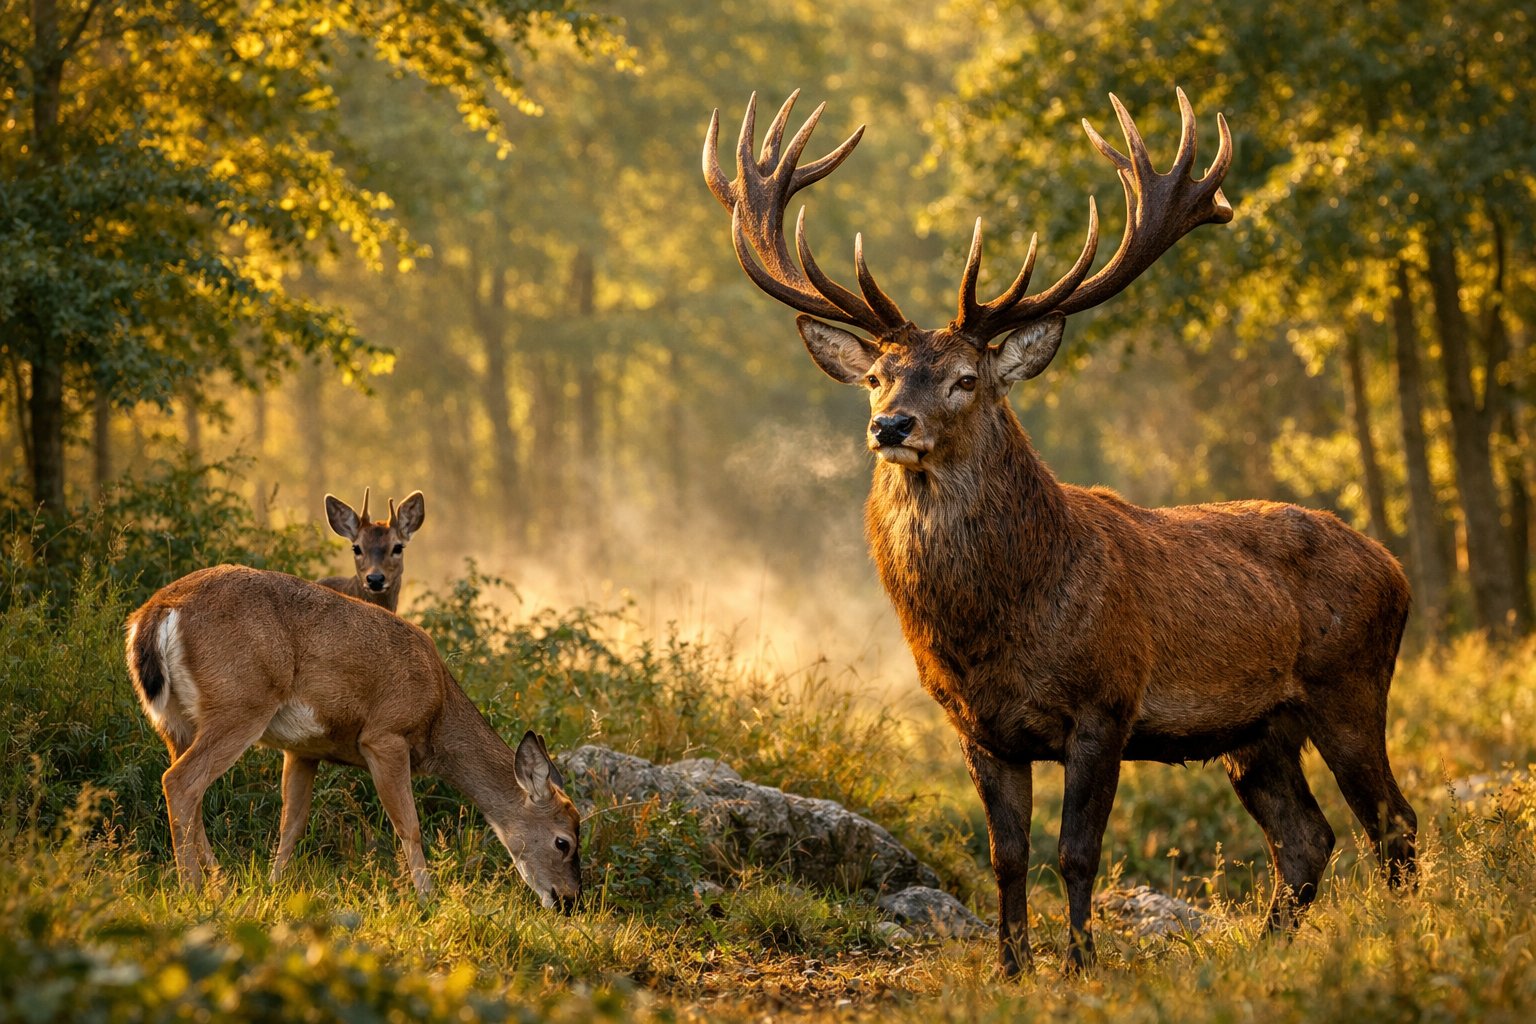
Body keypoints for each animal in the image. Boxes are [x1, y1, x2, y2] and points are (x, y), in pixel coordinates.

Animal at [124, 564, 582, 911]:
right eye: (564, 842)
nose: (569, 900)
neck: (438, 713)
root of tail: (156, 613)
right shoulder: (385, 735)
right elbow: (409, 826)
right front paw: (428, 900)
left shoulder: (303, 750)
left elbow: (291, 826)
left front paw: (274, 885)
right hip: (241, 702)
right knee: (180, 782)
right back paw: (193, 889)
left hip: (175, 721)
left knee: (190, 791)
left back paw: (218, 882)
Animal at [704, 90, 1417, 973]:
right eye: (875, 375)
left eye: (966, 379)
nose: (890, 426)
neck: (997, 628)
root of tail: (1396, 570)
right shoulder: (977, 726)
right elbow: (1006, 855)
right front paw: (1011, 966)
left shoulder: (1105, 703)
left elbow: (1078, 852)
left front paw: (1080, 964)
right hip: (1259, 731)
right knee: (1307, 838)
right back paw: (1263, 951)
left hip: (1351, 684)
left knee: (1393, 825)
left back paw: (1398, 940)